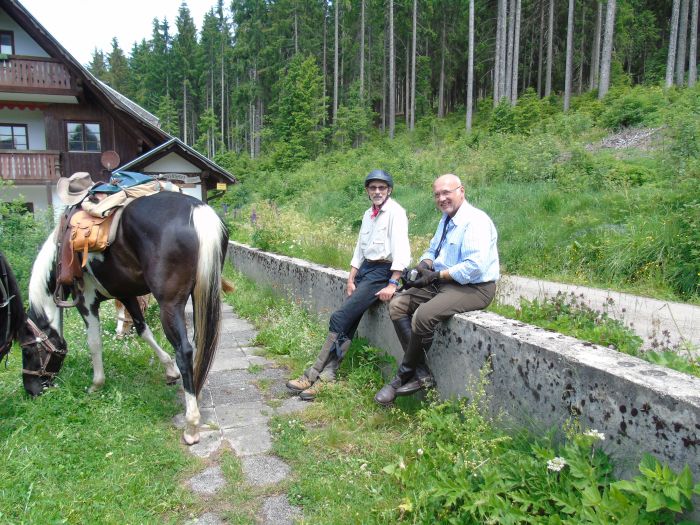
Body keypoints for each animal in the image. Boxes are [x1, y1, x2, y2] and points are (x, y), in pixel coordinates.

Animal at [21, 190, 228, 444]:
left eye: (27, 351)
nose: (31, 391)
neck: (60, 252)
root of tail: (197, 211)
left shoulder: (85, 301)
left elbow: (94, 342)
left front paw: (96, 384)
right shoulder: (126, 294)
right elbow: (142, 330)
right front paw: (169, 370)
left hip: (170, 305)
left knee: (184, 350)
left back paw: (191, 425)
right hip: (201, 294)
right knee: (199, 342)